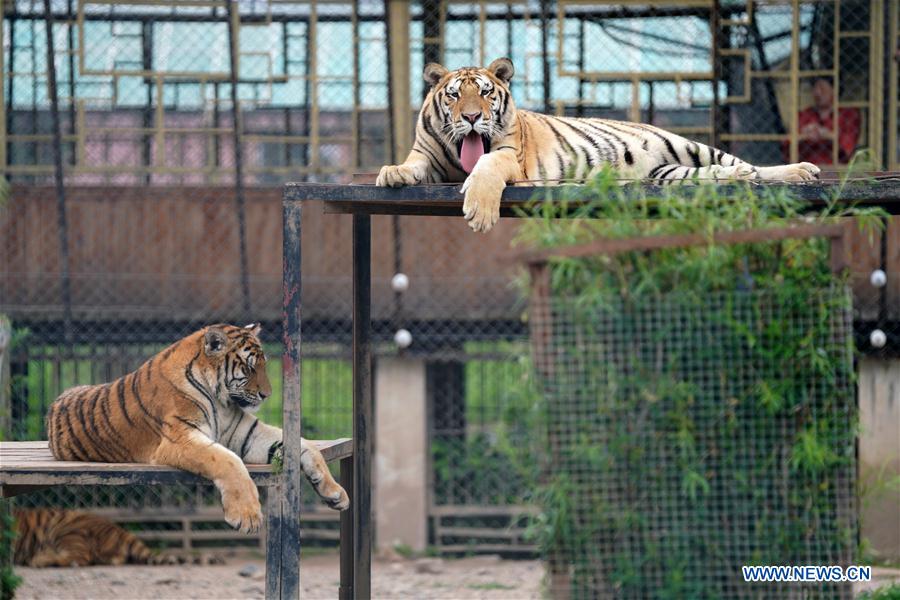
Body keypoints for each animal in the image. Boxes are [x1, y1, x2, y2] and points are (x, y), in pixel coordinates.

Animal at [45, 324, 350, 536]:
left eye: (264, 366)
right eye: (250, 368)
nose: (267, 395)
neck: (222, 399)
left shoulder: (248, 433)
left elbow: (305, 444)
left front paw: (335, 492)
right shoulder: (180, 437)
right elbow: (228, 460)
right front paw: (247, 516)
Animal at [380, 57, 824, 232]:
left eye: (486, 94)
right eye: (455, 96)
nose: (472, 117)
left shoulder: (509, 158)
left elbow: (486, 169)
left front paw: (480, 212)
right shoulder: (427, 156)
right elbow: (412, 165)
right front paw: (392, 173)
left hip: (685, 146)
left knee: (749, 166)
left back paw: (798, 171)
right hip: (671, 174)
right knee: (720, 174)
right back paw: (738, 176)